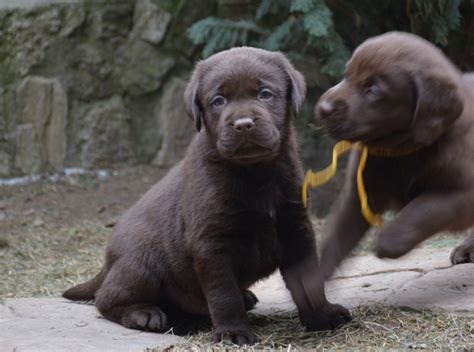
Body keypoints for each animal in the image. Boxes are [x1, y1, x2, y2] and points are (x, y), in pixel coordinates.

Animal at [63, 46, 350, 344]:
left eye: (265, 94)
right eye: (218, 101)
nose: (243, 124)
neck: (255, 173)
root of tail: (108, 261)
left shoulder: (296, 228)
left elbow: (310, 281)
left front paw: (322, 315)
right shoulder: (212, 242)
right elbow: (224, 294)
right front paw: (233, 332)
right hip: (143, 261)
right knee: (106, 298)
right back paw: (145, 314)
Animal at [312, 31, 472, 278]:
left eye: (373, 90)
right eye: (346, 75)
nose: (323, 108)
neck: (398, 151)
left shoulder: (461, 193)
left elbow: (419, 212)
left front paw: (386, 243)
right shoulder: (359, 196)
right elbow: (334, 243)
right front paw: (311, 283)